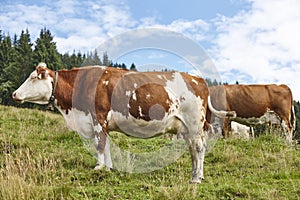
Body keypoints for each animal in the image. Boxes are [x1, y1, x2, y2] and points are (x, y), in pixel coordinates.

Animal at [12, 62, 236, 183]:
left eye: (33, 77)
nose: (14, 93)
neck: (73, 111)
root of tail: (199, 80)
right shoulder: (103, 124)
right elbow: (107, 145)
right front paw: (109, 168)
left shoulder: (98, 117)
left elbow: (99, 145)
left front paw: (99, 168)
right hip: (187, 128)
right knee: (194, 151)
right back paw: (195, 175)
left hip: (195, 123)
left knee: (199, 149)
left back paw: (196, 178)